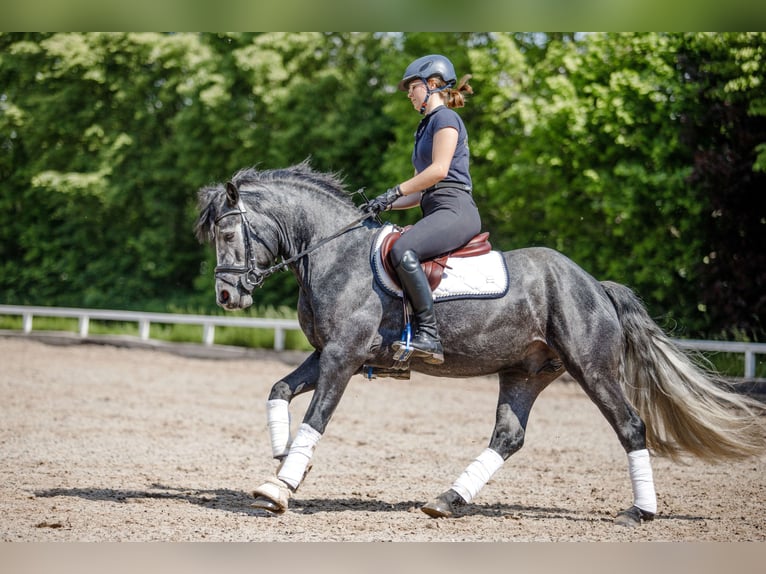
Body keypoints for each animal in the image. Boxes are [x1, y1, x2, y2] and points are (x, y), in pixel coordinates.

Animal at [195, 161, 764, 528]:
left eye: (228, 235)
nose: (226, 296)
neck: (335, 255)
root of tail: (594, 284)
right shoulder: (326, 354)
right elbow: (278, 390)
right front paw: (283, 454)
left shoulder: (342, 356)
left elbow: (317, 418)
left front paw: (280, 486)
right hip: (525, 371)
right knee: (508, 436)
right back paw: (446, 500)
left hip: (593, 369)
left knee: (630, 426)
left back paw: (640, 511)